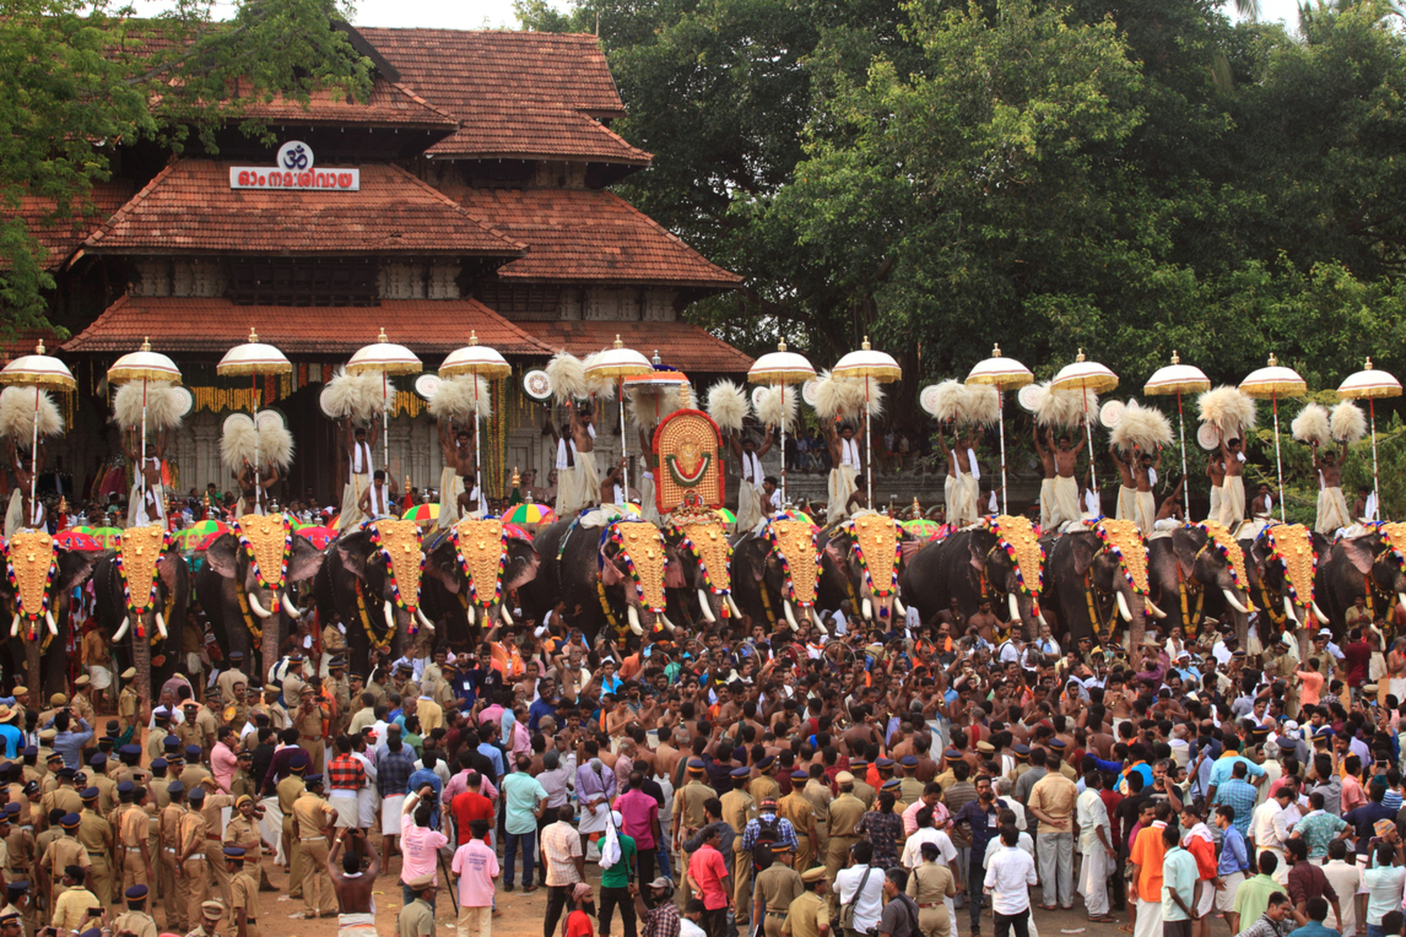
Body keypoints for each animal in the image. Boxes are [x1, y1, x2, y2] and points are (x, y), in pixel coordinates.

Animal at [195, 514, 326, 675]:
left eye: (288, 556)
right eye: (242, 555)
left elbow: (281, 630)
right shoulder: (229, 592)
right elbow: (238, 635)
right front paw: (242, 676)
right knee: (221, 635)